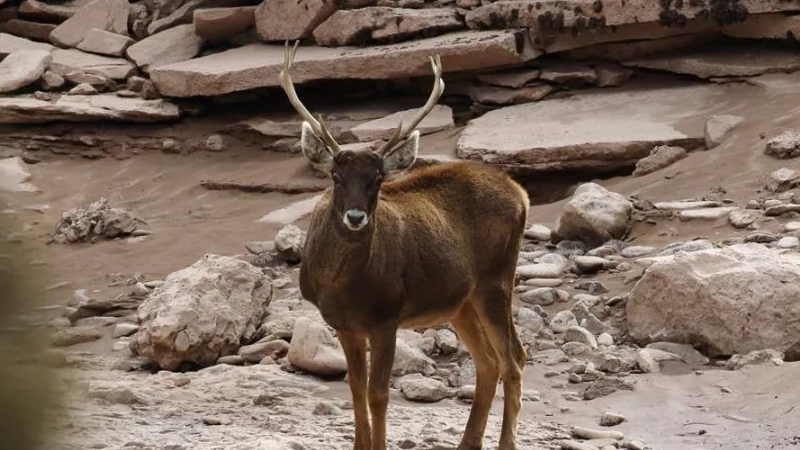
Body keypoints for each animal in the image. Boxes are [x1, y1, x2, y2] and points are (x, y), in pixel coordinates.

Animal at [280, 42, 532, 450]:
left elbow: (378, 393)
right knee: (489, 361)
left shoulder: (387, 315)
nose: (355, 217)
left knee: (514, 358)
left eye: (378, 178)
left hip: (497, 278)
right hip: (461, 301)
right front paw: (359, 445)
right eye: (335, 175)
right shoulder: (343, 323)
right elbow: (355, 387)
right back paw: (467, 443)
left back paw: (504, 443)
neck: (341, 287)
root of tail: (521, 193)